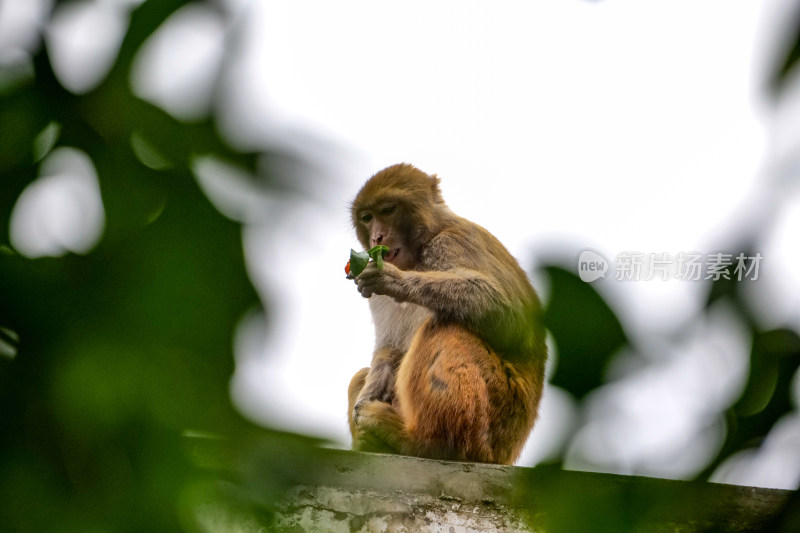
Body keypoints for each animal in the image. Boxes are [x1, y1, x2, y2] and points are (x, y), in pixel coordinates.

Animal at [346, 164, 548, 464]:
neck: (419, 253)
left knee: (446, 329)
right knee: (363, 374)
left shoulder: (451, 243)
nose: (376, 237)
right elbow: (389, 349)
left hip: (499, 416)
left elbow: (513, 322)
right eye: (367, 218)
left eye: (388, 210)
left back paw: (427, 442)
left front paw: (395, 281)